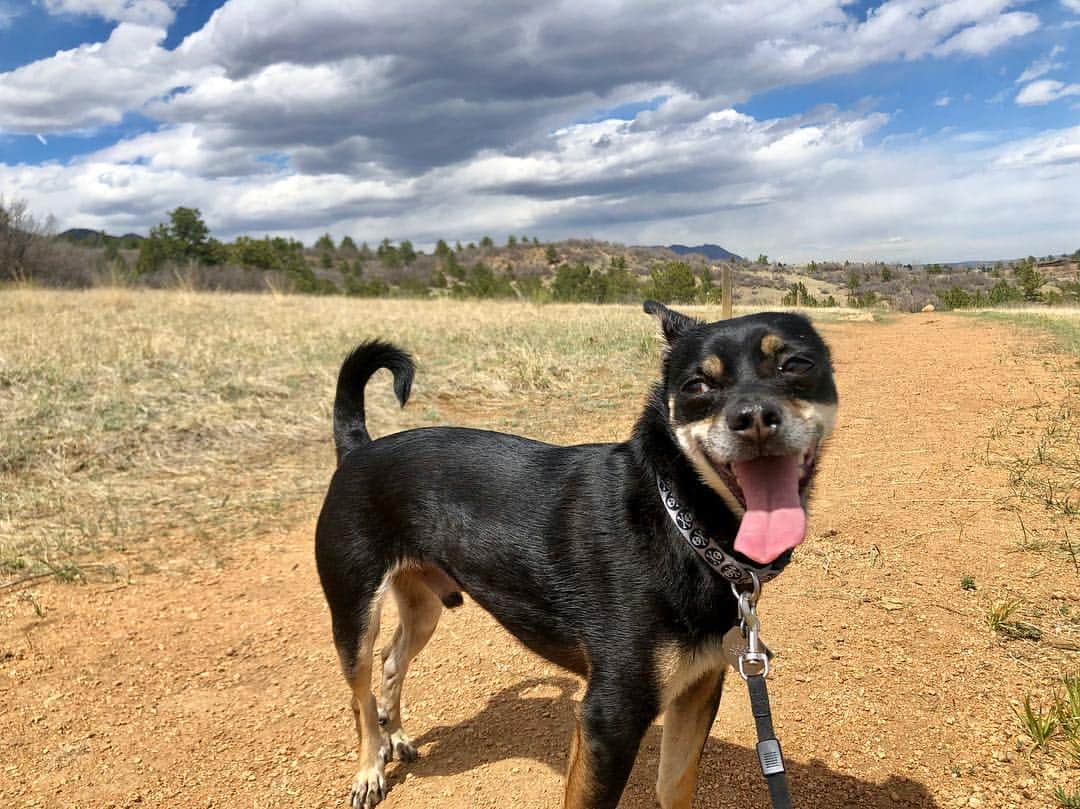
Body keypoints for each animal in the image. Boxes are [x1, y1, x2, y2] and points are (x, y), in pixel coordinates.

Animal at [315, 302, 838, 807]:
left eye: (796, 364)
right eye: (697, 385)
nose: (753, 418)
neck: (679, 521)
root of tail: (357, 448)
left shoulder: (699, 687)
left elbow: (675, 786)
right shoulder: (609, 717)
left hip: (423, 606)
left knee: (391, 660)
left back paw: (396, 737)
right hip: (353, 614)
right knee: (360, 696)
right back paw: (369, 770)